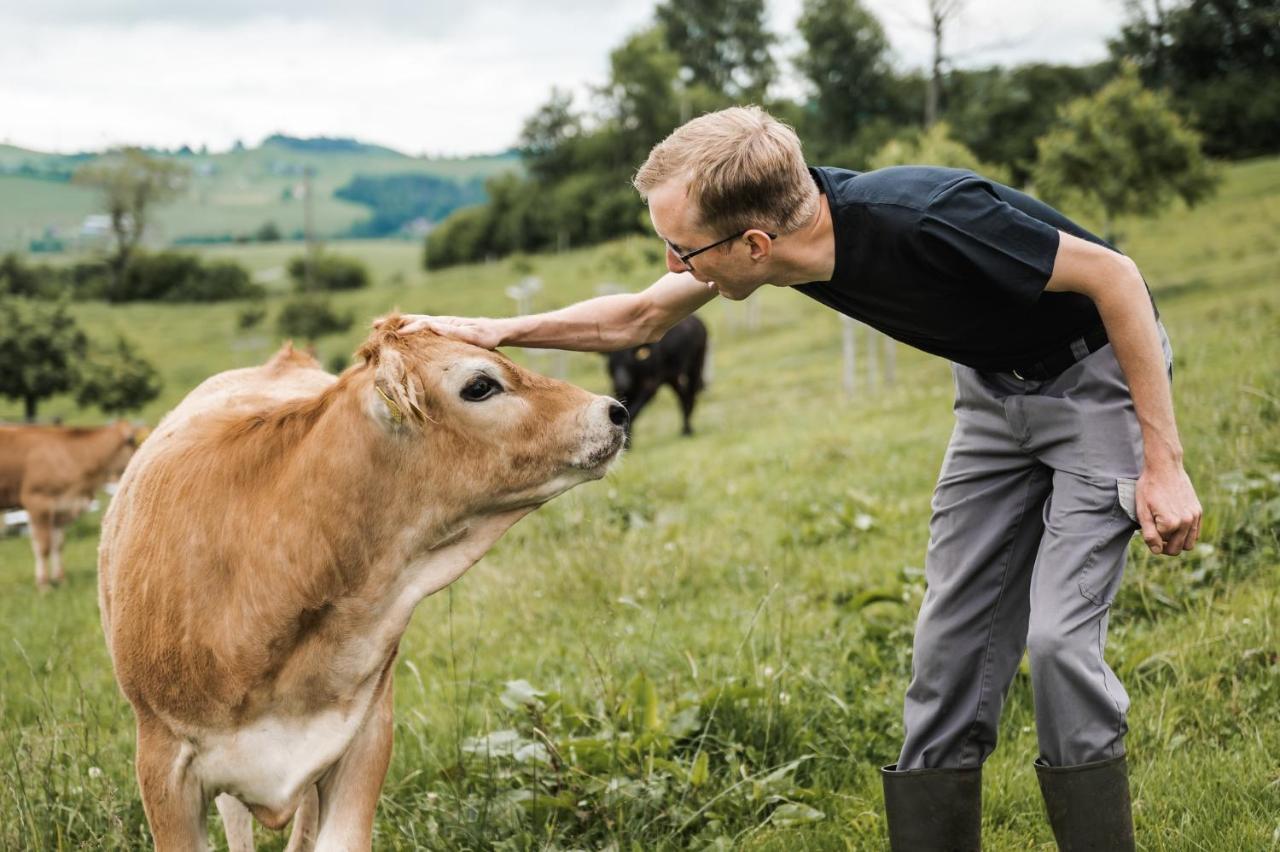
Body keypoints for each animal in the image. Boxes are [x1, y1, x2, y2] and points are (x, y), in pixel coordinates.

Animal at [0, 417, 140, 583]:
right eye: (131, 440)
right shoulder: (37, 502)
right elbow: (43, 546)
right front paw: (44, 583)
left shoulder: (60, 508)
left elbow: (58, 544)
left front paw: (61, 579)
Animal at [604, 313, 706, 445]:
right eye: (611, 363)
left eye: (629, 361)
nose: (621, 381)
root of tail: (697, 319)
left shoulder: (650, 384)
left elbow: (633, 411)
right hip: (672, 376)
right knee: (683, 397)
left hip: (695, 365)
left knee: (691, 396)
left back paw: (688, 431)